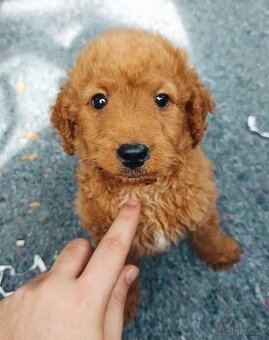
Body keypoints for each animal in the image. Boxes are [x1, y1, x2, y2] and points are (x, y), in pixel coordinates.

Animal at [51, 27, 240, 320]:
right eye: (99, 100)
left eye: (162, 99)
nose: (133, 153)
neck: (145, 190)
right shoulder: (105, 231)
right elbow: (122, 271)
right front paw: (124, 305)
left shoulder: (201, 197)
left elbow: (208, 230)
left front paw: (222, 253)